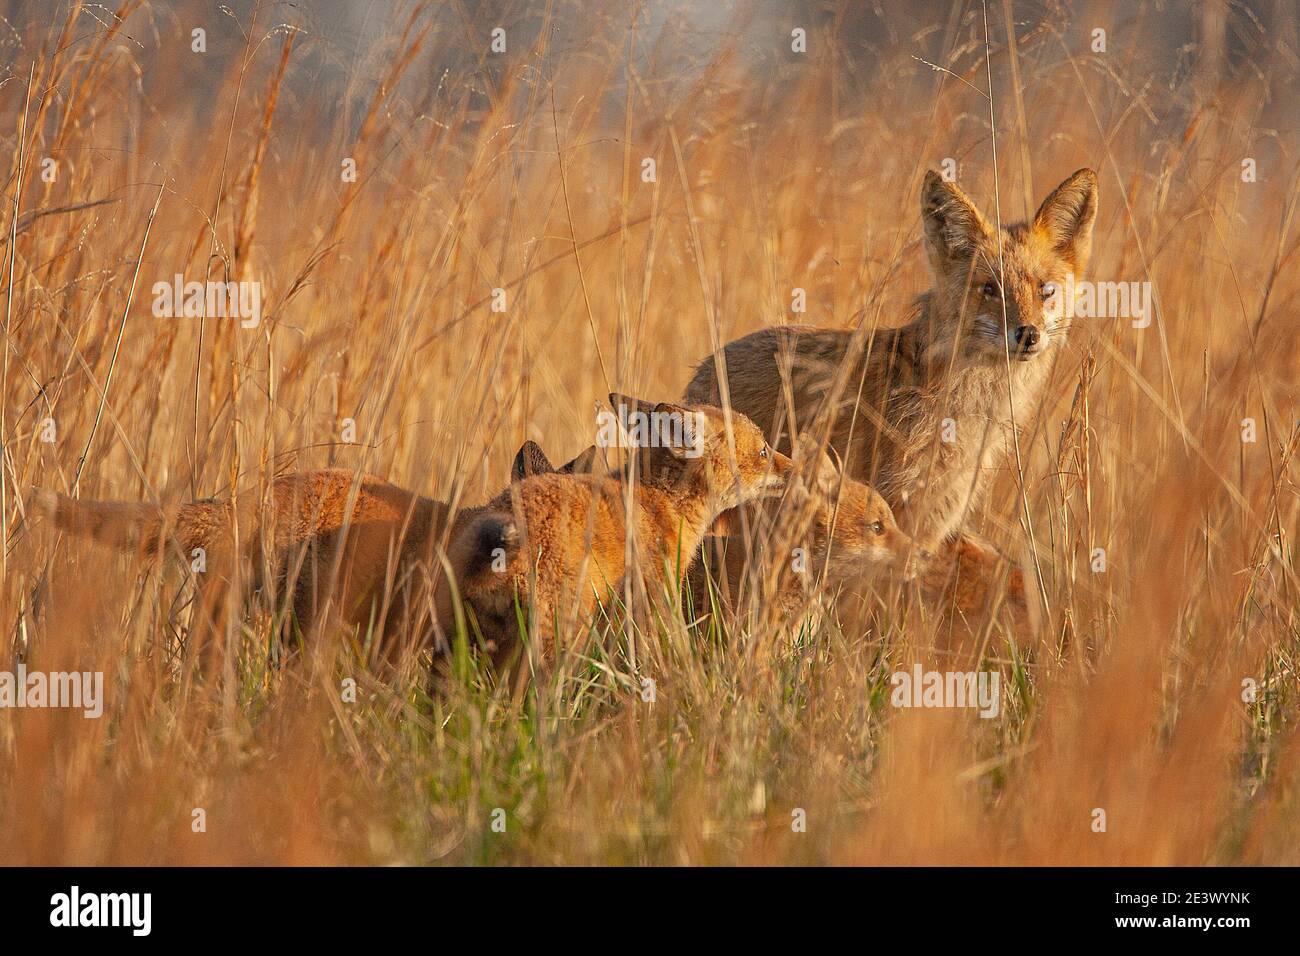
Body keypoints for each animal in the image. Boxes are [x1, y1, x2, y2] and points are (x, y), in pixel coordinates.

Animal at [681, 166, 1097, 629]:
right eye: (989, 288)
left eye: (1045, 290)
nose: (1028, 334)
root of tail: (704, 367)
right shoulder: (896, 514)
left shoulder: (931, 525)